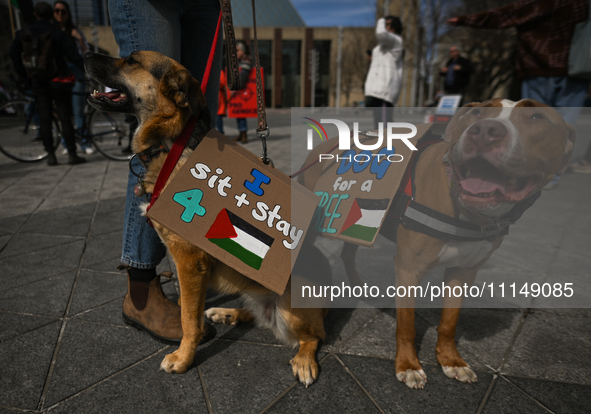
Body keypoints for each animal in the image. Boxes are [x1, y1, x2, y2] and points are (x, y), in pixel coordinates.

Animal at [84, 52, 326, 388]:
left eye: (131, 61)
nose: (84, 55)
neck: (171, 143)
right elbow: (188, 310)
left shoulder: (189, 261)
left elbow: (188, 318)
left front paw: (184, 358)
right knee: (256, 315)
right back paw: (228, 313)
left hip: (292, 311)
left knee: (314, 337)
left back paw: (303, 360)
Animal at [298, 98, 576, 390]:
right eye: (478, 112)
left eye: (536, 117)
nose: (485, 131)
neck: (468, 212)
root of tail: (322, 146)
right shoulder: (408, 270)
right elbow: (407, 325)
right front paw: (408, 365)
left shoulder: (464, 273)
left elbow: (450, 322)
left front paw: (452, 361)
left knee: (348, 250)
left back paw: (359, 287)